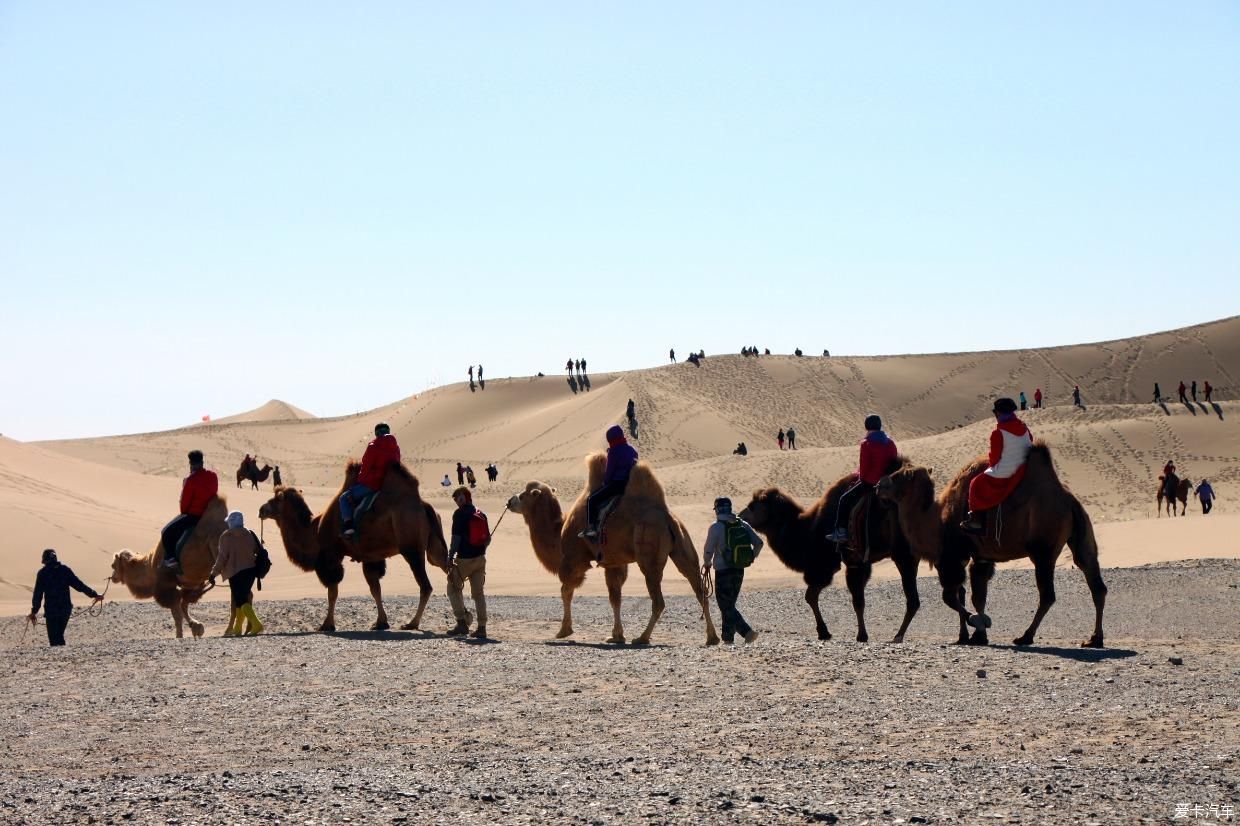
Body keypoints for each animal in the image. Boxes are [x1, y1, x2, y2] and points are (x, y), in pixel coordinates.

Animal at [109, 496, 228, 635]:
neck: (151, 566)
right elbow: (184, 605)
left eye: (113, 565)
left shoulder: (166, 585)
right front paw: (196, 627)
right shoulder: (193, 584)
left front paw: (182, 634)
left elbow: (177, 614)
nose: (113, 577)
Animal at [500, 451, 719, 644]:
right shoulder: (614, 562)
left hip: (648, 553)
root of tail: (666, 516)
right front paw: (616, 635)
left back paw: (642, 638)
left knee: (658, 599)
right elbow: (615, 597)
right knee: (700, 590)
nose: (509, 501)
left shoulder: (573, 559)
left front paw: (564, 631)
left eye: (524, 495)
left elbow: (566, 590)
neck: (559, 530)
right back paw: (712, 637)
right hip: (683, 547)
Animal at [734, 463, 922, 644]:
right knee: (913, 600)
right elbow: (849, 596)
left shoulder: (834, 563)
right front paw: (830, 632)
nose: (739, 515)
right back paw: (898, 635)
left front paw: (850, 634)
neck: (808, 530)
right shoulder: (859, 562)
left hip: (903, 555)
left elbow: (821, 597)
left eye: (752, 507)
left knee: (912, 599)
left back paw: (898, 635)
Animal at [877, 441, 1111, 644]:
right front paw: (978, 635)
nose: (879, 484)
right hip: (1082, 536)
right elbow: (977, 596)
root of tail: (1069, 500)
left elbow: (950, 597)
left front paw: (977, 622)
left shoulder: (951, 556)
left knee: (1048, 595)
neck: (936, 520)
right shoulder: (981, 557)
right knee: (1095, 581)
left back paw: (1025, 637)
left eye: (897, 476)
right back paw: (1094, 639)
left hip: (1043, 548)